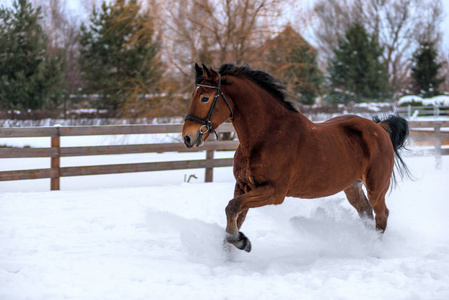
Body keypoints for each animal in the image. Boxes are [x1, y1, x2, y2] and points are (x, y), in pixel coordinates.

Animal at [180, 63, 408, 253]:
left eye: (205, 98)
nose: (188, 137)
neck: (268, 134)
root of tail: (379, 128)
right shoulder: (244, 186)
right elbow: (236, 213)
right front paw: (231, 250)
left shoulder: (274, 192)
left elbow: (233, 207)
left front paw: (241, 242)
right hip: (352, 187)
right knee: (366, 214)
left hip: (376, 187)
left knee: (381, 215)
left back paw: (374, 249)